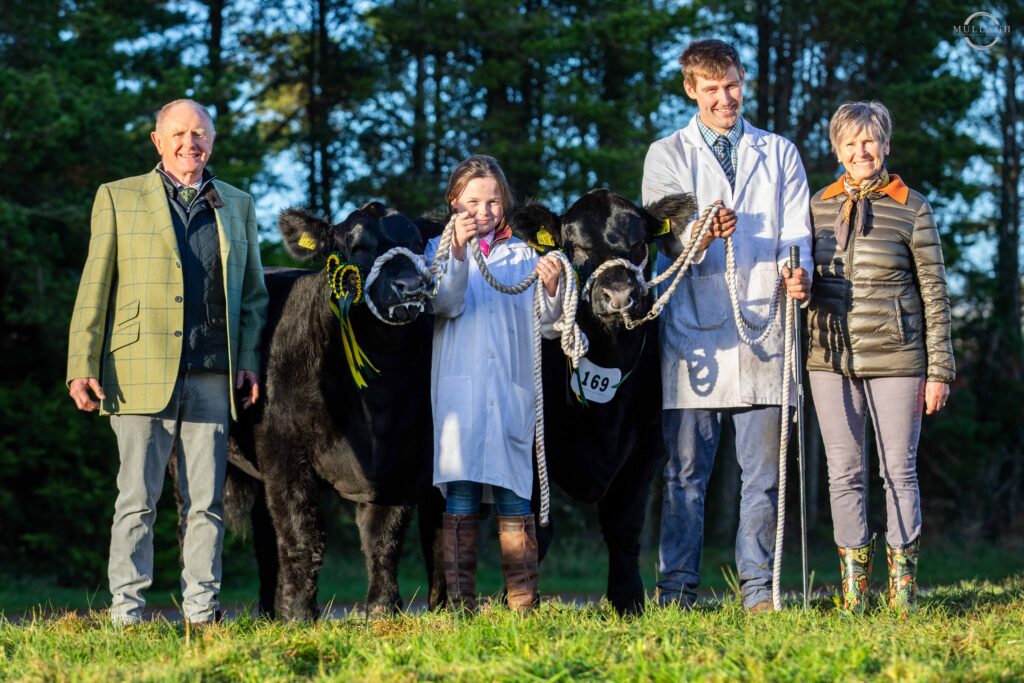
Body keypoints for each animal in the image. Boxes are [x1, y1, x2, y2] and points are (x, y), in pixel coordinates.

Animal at [221, 201, 441, 620]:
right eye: (357, 247)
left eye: (418, 243)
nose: (411, 287)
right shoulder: (285, 454)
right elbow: (302, 536)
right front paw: (300, 615)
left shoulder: (402, 459)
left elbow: (384, 538)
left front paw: (383, 609)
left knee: (263, 536)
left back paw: (268, 611)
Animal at [509, 189, 697, 615]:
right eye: (575, 247)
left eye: (640, 243)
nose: (619, 295)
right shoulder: (533, 444)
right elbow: (537, 528)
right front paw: (525, 601)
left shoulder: (648, 446)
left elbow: (623, 525)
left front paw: (628, 599)